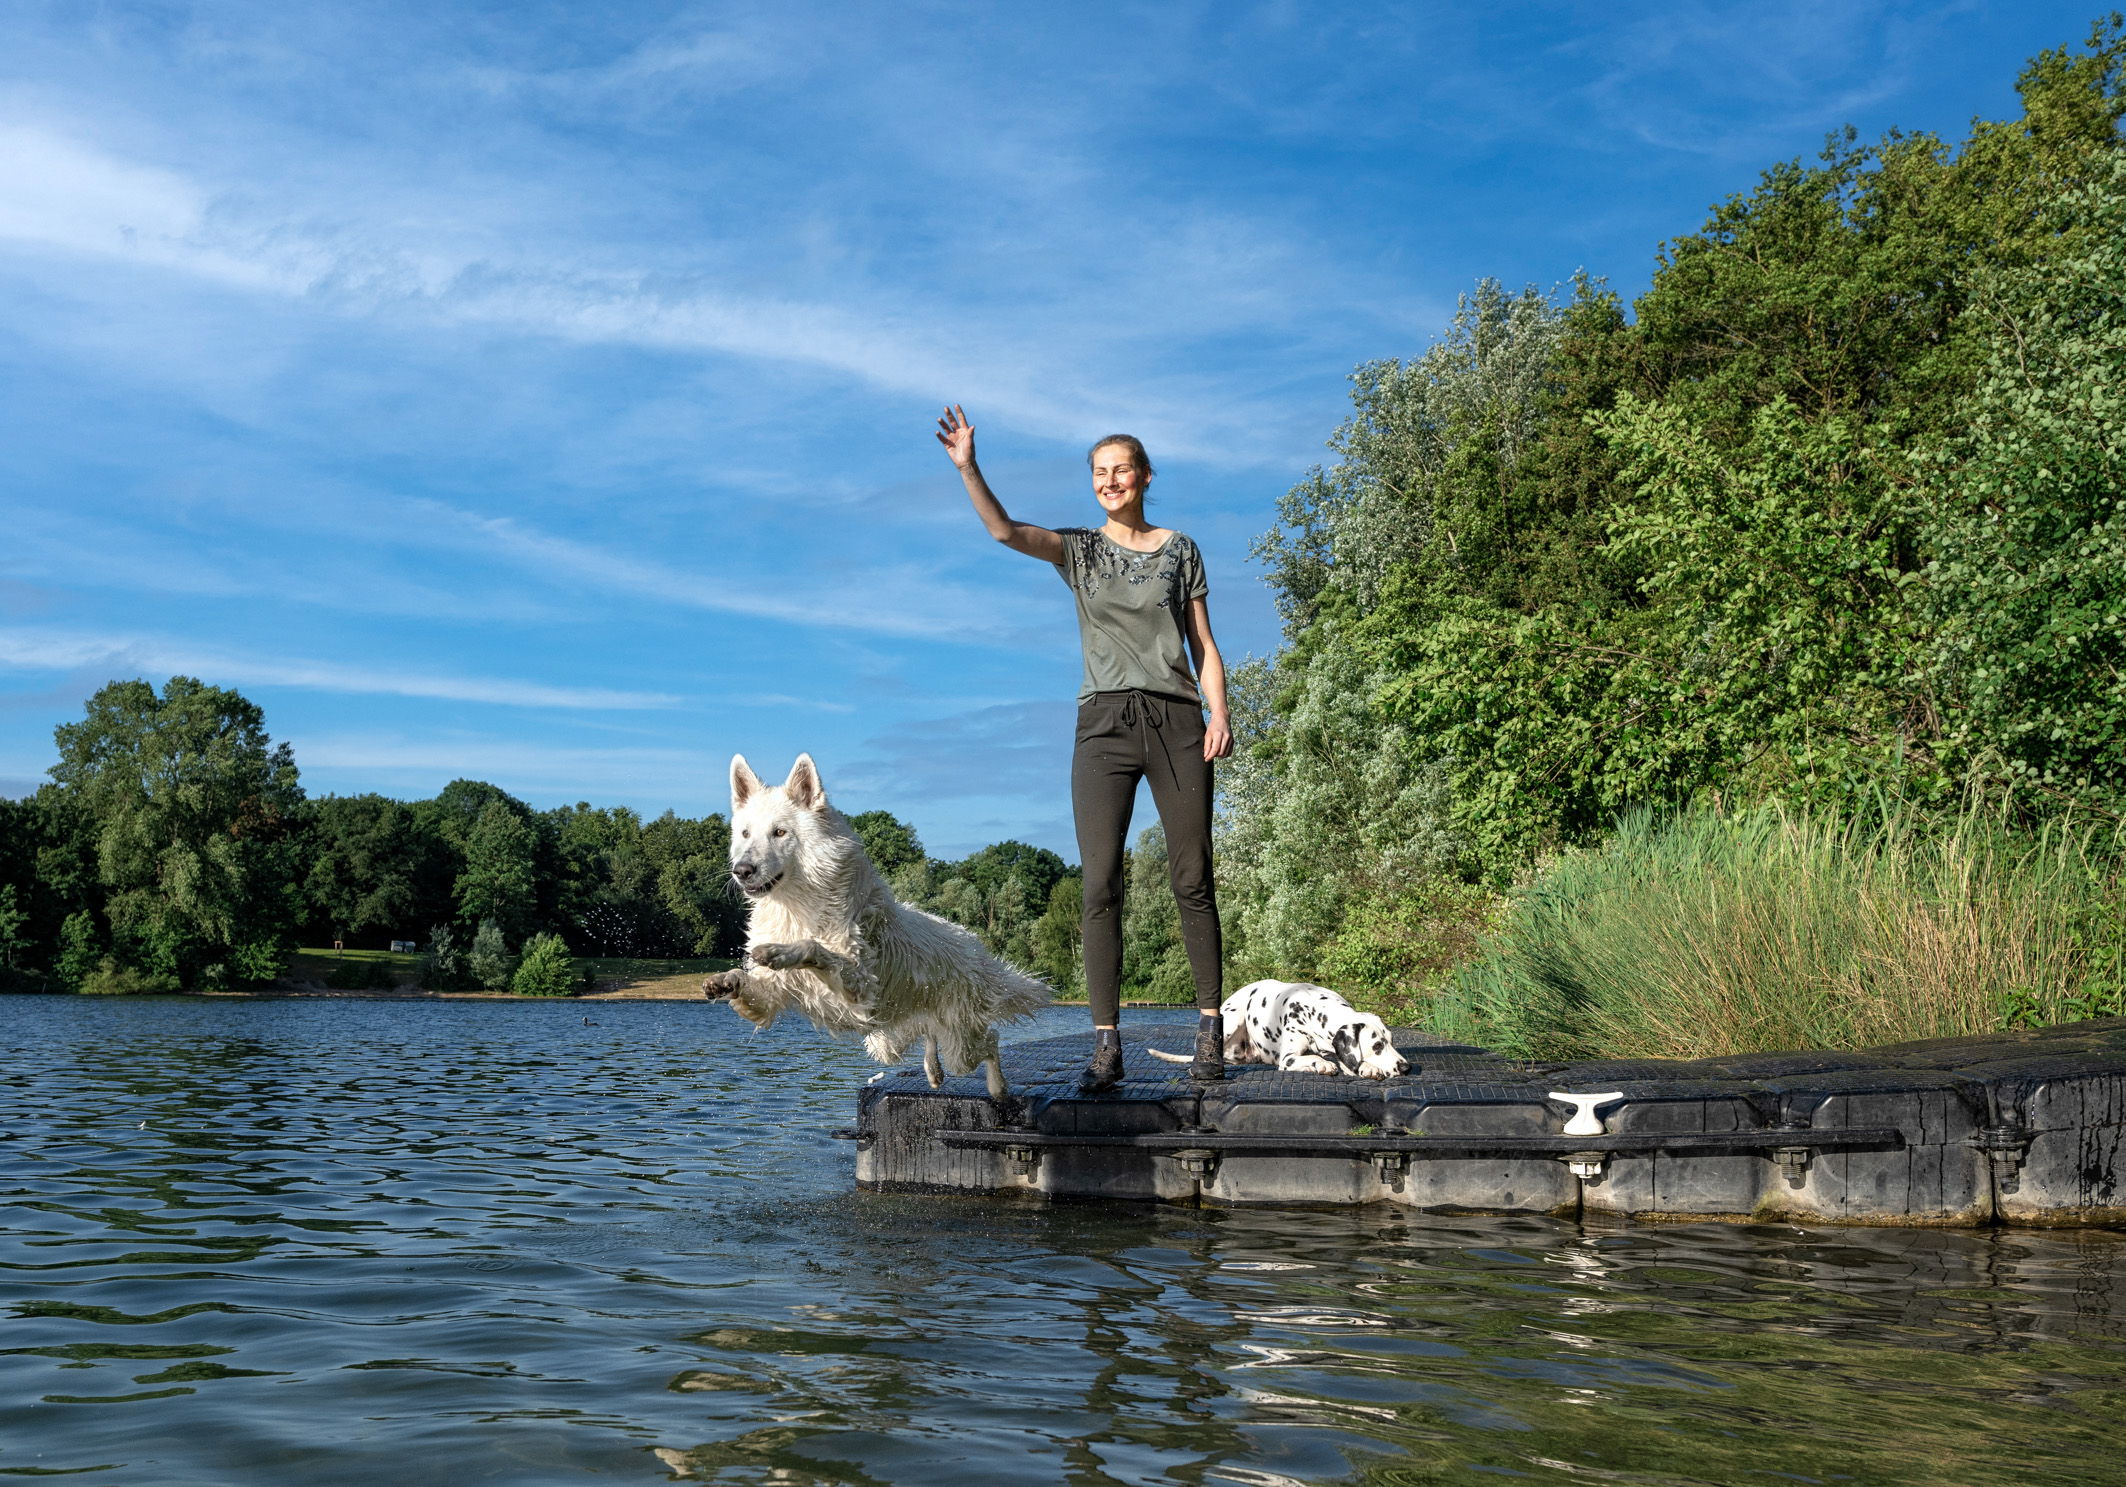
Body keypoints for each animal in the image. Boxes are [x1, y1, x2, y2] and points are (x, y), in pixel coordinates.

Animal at [701, 757, 1050, 1097]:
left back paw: (997, 1087)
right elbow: (748, 982)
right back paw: (933, 1073)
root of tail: (973, 944)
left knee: (990, 1041)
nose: (742, 870)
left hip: (959, 1046)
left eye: (780, 832)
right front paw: (724, 981)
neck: (797, 906)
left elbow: (813, 947)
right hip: (887, 1044)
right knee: (929, 1034)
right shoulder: (768, 999)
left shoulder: (860, 987)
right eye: (745, 834)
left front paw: (779, 952)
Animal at [1148, 978, 1411, 1080]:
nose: (1406, 1068)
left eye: (1391, 1041)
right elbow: (1313, 1058)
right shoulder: (1288, 1058)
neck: (1315, 1008)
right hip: (1232, 1020)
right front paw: (1322, 1064)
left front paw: (1368, 1068)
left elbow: (1349, 1061)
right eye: (1377, 1045)